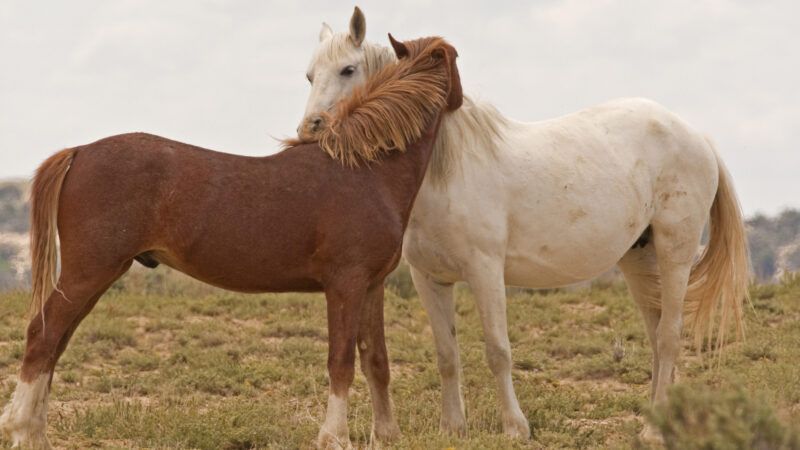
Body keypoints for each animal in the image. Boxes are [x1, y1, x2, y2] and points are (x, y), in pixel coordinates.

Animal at [0, 36, 462, 450]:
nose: (460, 101)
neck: (366, 170)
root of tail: (79, 152)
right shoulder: (345, 285)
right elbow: (342, 362)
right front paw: (335, 437)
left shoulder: (371, 285)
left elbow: (376, 361)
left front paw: (387, 436)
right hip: (89, 272)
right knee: (43, 335)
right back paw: (22, 430)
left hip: (93, 277)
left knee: (56, 342)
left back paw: (37, 433)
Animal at [300, 7, 752, 442]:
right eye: (309, 74)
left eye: (348, 69)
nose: (309, 130)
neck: (444, 171)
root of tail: (697, 136)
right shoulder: (429, 278)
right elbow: (447, 355)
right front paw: (453, 427)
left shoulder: (485, 271)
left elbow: (498, 351)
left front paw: (515, 427)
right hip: (640, 259)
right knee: (658, 337)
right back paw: (657, 421)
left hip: (675, 254)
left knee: (670, 336)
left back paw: (654, 431)